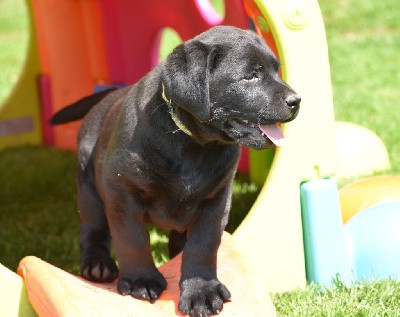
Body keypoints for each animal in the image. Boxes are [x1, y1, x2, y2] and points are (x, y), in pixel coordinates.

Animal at [50, 25, 300, 314]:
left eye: (276, 70)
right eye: (250, 75)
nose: (297, 101)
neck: (194, 144)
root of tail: (109, 96)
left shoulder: (216, 199)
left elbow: (203, 245)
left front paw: (201, 291)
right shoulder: (122, 191)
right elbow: (132, 239)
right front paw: (141, 280)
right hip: (89, 188)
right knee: (93, 229)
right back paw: (97, 265)